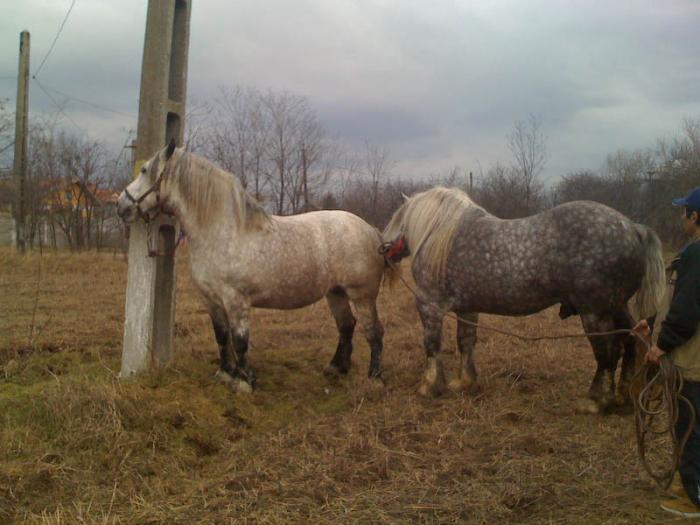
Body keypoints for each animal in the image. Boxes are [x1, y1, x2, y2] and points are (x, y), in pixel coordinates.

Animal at [380, 186, 664, 412]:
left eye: (397, 217)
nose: (382, 247)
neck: (441, 237)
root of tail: (633, 228)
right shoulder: (468, 309)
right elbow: (466, 342)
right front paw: (465, 382)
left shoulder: (430, 306)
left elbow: (431, 345)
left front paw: (429, 386)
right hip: (616, 307)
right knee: (631, 340)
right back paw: (623, 396)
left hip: (595, 313)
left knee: (608, 353)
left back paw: (596, 401)